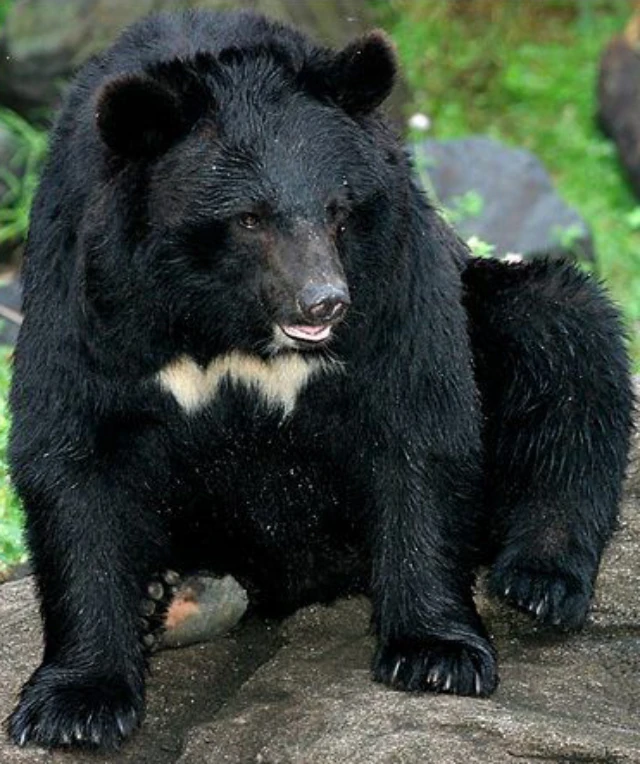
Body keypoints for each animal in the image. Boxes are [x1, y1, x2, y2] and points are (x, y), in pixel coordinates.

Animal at [6, 9, 632, 751]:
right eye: (247, 218)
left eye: (338, 208)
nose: (324, 303)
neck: (226, 318)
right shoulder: (88, 272)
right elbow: (74, 446)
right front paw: (73, 706)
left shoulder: (389, 258)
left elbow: (419, 410)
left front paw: (437, 653)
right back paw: (174, 596)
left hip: (497, 302)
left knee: (564, 335)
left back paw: (539, 579)